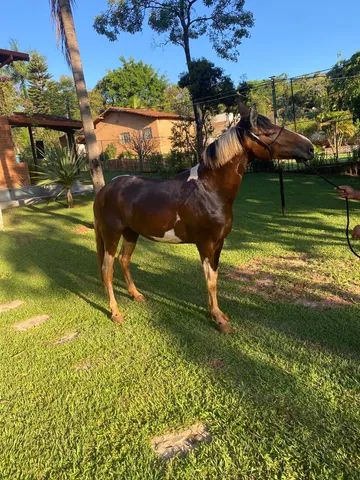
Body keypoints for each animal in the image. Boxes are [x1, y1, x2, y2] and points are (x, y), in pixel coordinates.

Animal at [94, 106, 314, 332]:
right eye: (268, 132)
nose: (310, 148)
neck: (209, 189)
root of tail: (105, 189)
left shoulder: (218, 243)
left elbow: (214, 278)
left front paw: (218, 313)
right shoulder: (206, 244)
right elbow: (210, 280)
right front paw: (219, 320)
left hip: (131, 233)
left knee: (124, 260)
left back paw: (136, 295)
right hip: (112, 234)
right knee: (107, 270)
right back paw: (116, 313)